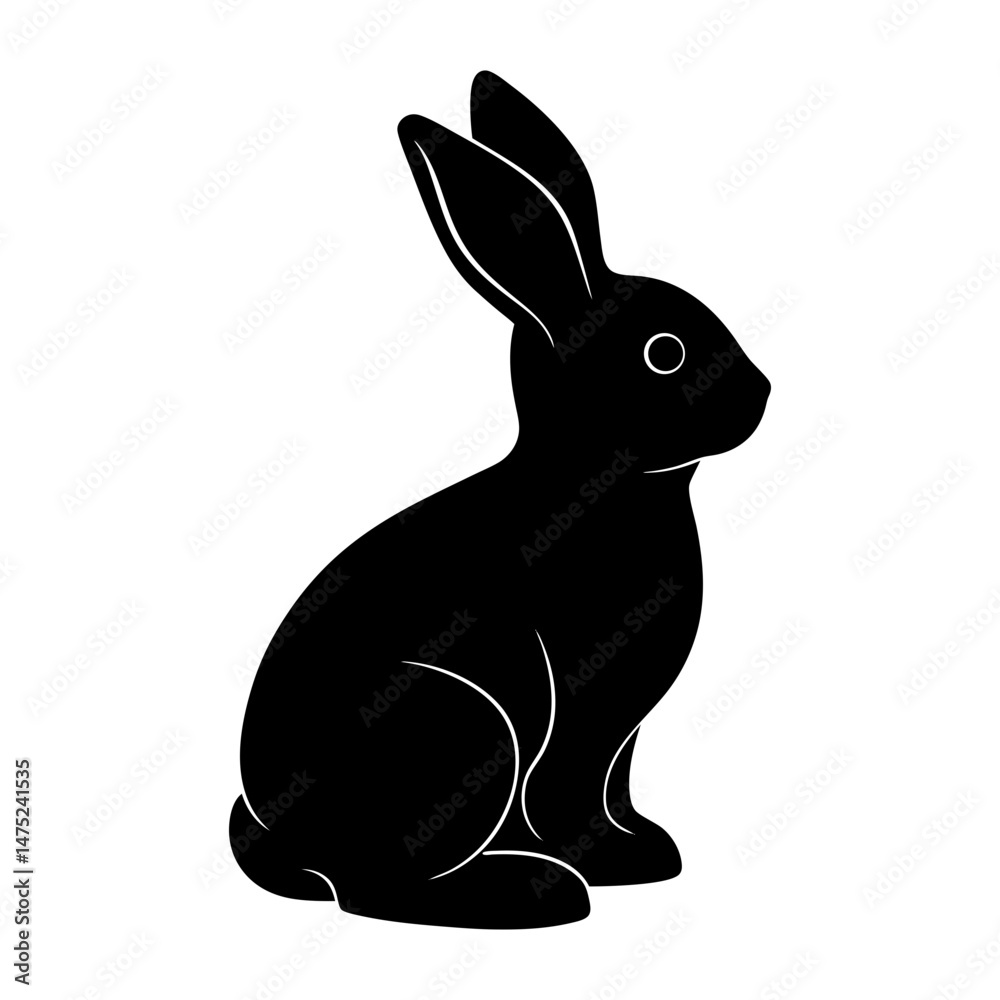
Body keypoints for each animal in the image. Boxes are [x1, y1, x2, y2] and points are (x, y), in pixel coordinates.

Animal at [230, 70, 770, 930]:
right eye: (665, 353)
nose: (761, 394)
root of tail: (280, 834)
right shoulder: (581, 712)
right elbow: (571, 795)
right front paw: (608, 860)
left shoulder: (622, 736)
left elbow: (614, 790)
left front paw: (644, 851)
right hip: (464, 732)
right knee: (376, 889)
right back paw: (532, 892)